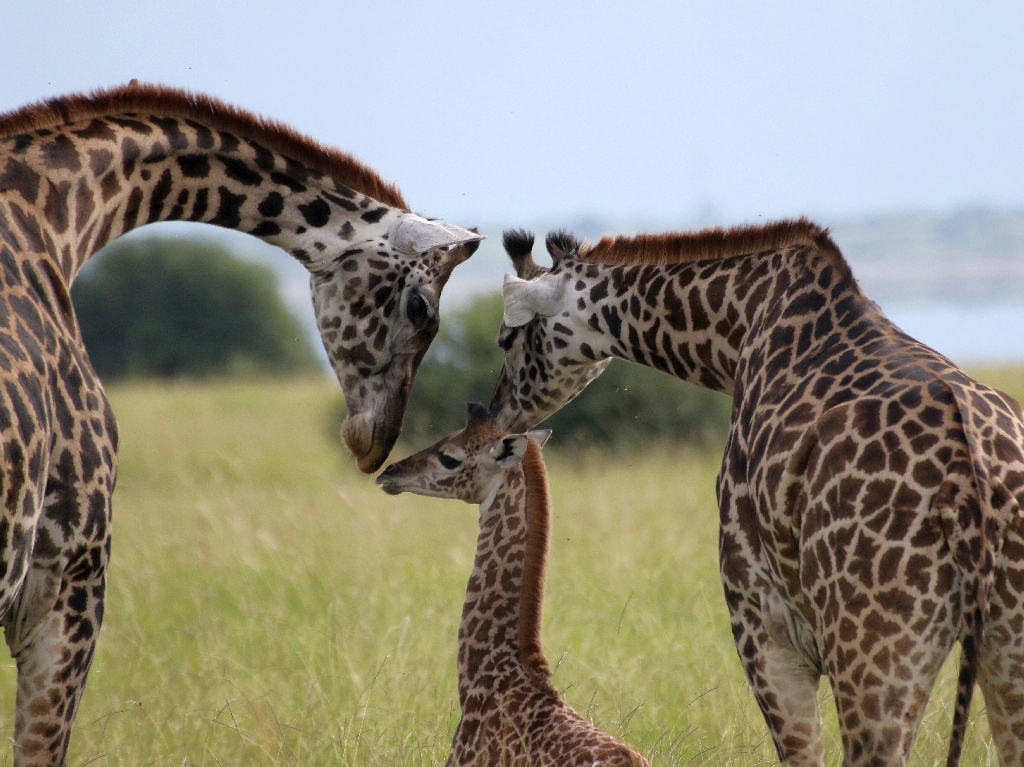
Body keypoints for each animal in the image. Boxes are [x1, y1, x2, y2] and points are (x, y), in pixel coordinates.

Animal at [487, 223, 1024, 767]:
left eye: (506, 338)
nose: (496, 414)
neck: (741, 326)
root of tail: (972, 482)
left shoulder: (761, 620)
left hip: (872, 648)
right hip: (1001, 648)